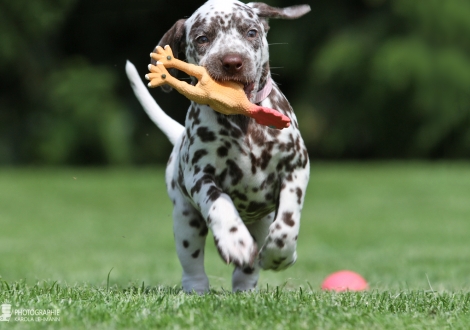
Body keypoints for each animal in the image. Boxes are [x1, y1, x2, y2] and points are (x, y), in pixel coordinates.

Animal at [125, 0, 310, 294]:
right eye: (203, 38)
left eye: (251, 32)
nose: (232, 62)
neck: (242, 121)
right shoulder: (200, 177)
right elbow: (220, 204)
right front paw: (234, 241)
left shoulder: (296, 167)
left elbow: (288, 219)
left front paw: (279, 254)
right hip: (185, 221)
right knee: (192, 264)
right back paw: (196, 289)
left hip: (259, 223)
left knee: (247, 269)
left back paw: (246, 287)